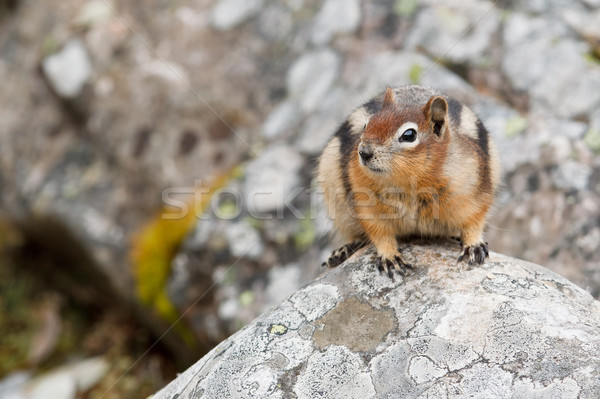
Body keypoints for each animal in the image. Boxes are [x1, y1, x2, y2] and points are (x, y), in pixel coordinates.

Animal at [318, 85, 502, 278]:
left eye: (409, 135)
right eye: (366, 125)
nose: (364, 152)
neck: (411, 182)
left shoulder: (473, 191)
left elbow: (474, 221)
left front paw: (473, 245)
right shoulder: (367, 204)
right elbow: (379, 231)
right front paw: (389, 256)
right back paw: (343, 250)